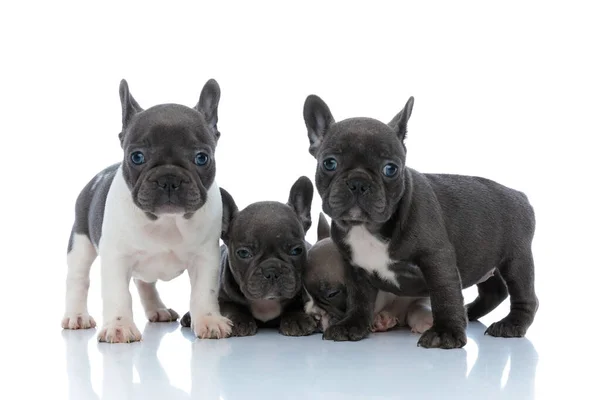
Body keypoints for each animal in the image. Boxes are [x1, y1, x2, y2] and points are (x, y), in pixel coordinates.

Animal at [62, 79, 232, 344]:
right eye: (137, 157)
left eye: (202, 158)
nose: (169, 179)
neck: (166, 221)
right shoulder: (116, 257)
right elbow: (118, 294)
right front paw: (119, 326)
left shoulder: (206, 257)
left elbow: (205, 291)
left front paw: (209, 320)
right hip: (80, 242)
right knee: (78, 278)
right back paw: (76, 316)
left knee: (144, 283)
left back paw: (157, 310)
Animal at [179, 177, 316, 336]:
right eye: (244, 253)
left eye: (296, 250)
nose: (272, 271)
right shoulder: (220, 299)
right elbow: (232, 306)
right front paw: (240, 320)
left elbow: (296, 304)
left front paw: (297, 319)